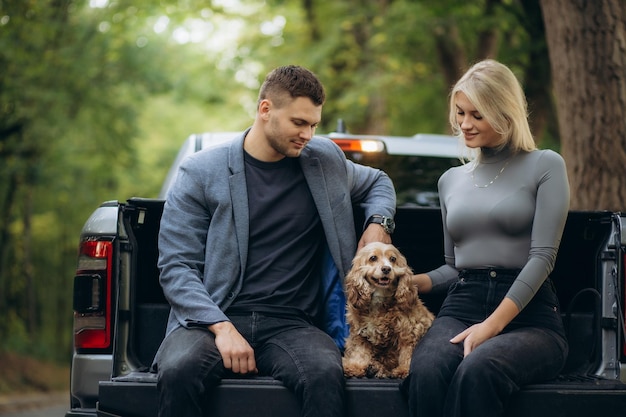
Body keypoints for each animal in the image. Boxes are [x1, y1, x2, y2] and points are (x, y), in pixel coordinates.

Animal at [342, 240, 434, 376]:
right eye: (373, 258)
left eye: (393, 259)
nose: (386, 268)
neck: (379, 299)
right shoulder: (360, 335)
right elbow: (360, 352)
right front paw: (355, 366)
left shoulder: (409, 330)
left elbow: (407, 352)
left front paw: (403, 369)